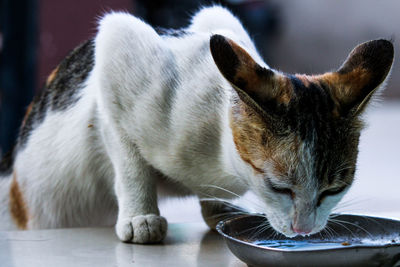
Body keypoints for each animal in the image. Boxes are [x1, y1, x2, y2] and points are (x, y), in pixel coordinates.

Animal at [0, 6, 394, 245]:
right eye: (278, 187)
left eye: (334, 189)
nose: (304, 229)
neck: (218, 156)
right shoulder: (116, 48)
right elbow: (128, 157)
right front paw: (140, 216)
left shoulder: (218, 18)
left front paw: (219, 210)